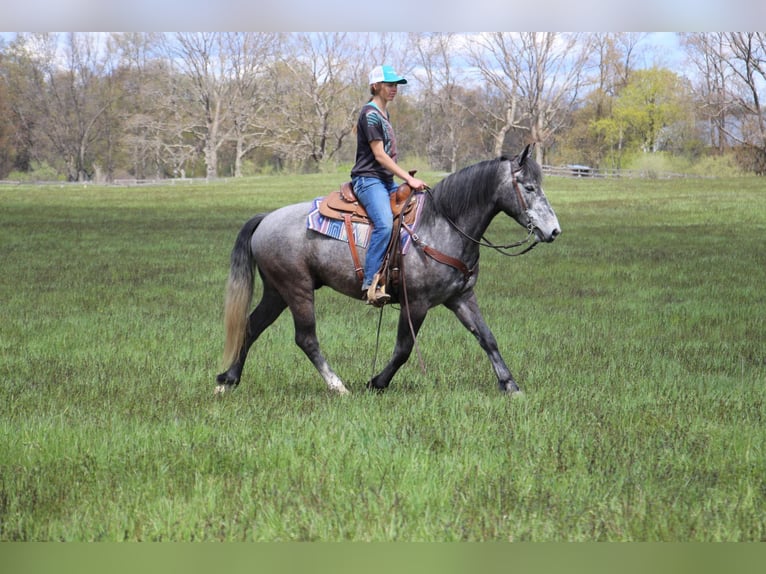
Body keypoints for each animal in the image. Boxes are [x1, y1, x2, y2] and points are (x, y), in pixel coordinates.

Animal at [218, 145, 564, 396]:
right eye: (529, 187)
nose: (553, 231)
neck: (442, 224)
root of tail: (265, 218)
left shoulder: (461, 297)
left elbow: (487, 338)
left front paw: (510, 385)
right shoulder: (416, 302)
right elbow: (404, 348)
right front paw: (377, 382)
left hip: (277, 291)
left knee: (251, 327)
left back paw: (227, 379)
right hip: (297, 288)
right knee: (306, 338)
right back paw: (338, 386)